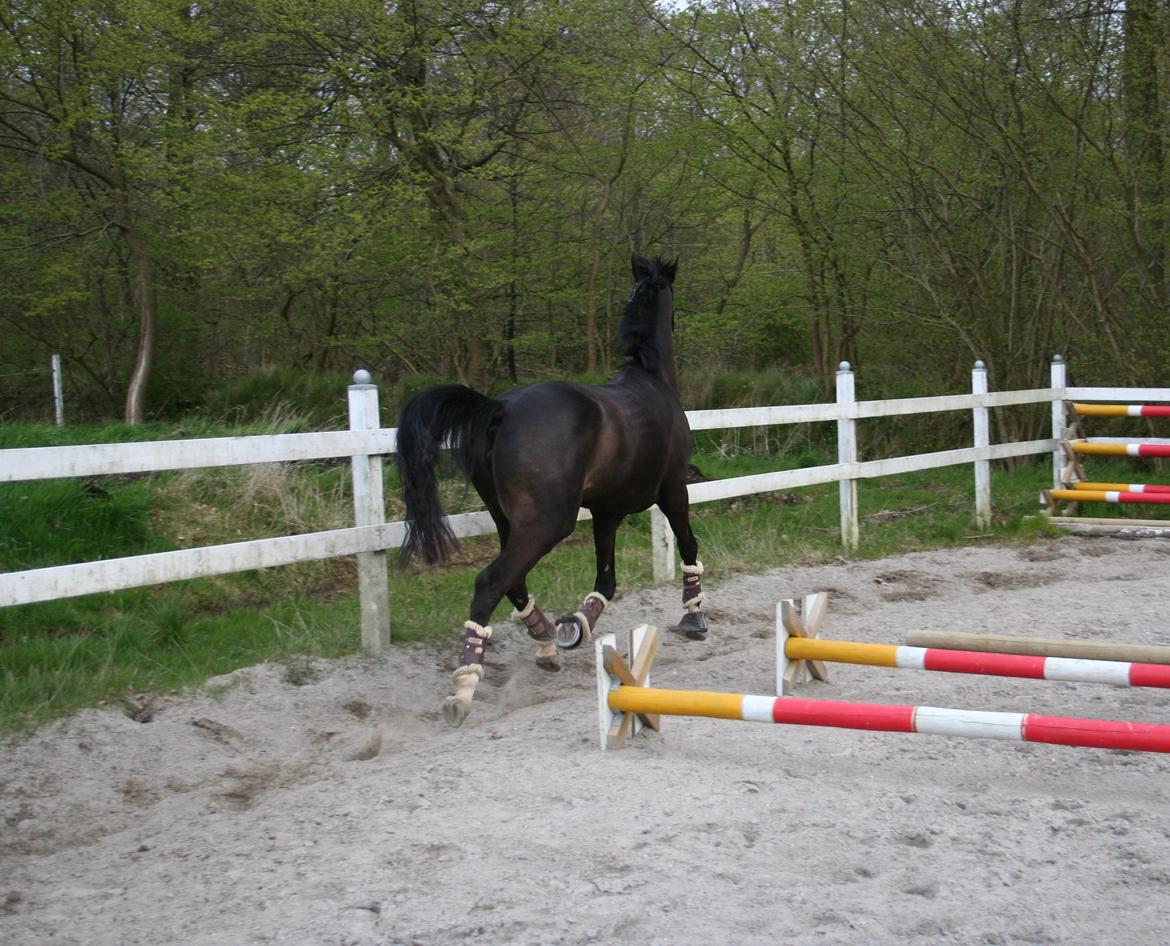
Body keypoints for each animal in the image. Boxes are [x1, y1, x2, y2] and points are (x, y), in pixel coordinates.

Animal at [397, 252, 706, 724]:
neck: (652, 379)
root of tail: (500, 408)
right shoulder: (673, 491)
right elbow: (688, 544)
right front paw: (694, 616)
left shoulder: (607, 511)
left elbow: (606, 580)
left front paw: (576, 625)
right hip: (548, 523)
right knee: (491, 581)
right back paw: (464, 686)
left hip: (509, 520)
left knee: (513, 582)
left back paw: (545, 639)